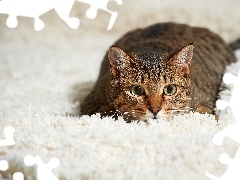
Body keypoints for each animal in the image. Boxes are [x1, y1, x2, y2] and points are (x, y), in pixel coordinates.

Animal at [80, 21, 238, 121]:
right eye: (136, 90)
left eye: (170, 89)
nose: (155, 110)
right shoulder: (91, 102)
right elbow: (109, 111)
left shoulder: (206, 103)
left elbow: (200, 112)